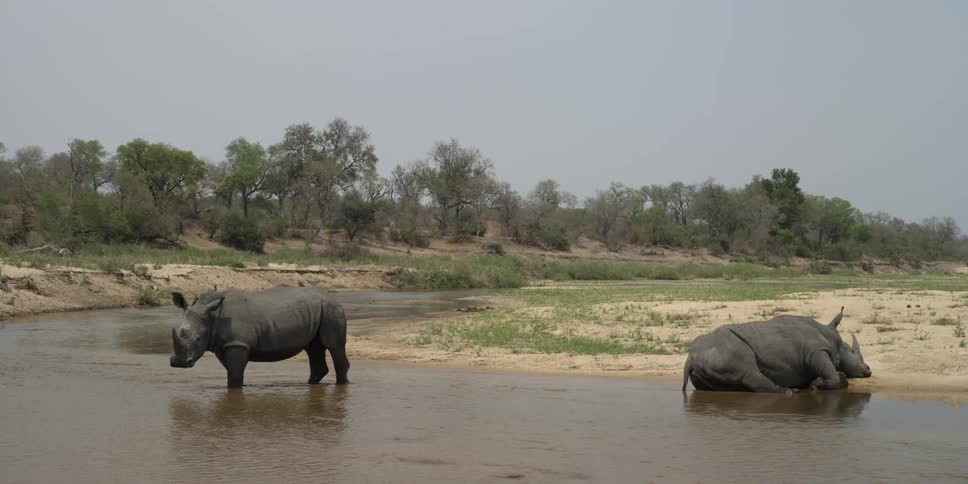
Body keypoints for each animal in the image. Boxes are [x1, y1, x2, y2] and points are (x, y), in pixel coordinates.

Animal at [169, 286, 350, 388]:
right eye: (180, 332)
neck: (212, 317)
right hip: (318, 310)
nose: (178, 363)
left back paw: (342, 385)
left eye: (198, 338)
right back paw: (310, 384)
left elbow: (234, 375)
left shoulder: (237, 343)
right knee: (313, 348)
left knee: (334, 346)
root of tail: (332, 297)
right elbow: (233, 371)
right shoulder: (224, 345)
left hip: (331, 308)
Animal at [682, 307, 871, 393]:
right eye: (853, 352)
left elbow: (839, 377)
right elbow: (832, 376)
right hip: (724, 349)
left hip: (707, 358)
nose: (868, 370)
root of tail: (690, 357)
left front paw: (818, 381)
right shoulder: (815, 351)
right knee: (748, 371)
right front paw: (816, 385)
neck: (832, 340)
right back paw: (790, 392)